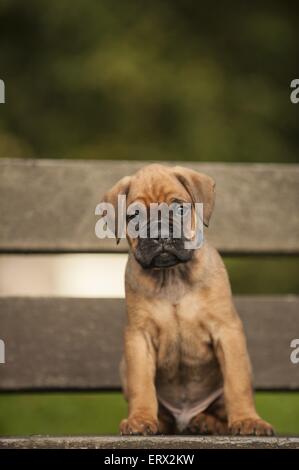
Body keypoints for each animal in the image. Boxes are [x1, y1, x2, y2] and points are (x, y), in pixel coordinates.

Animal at [102, 163, 274, 436]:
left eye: (179, 208)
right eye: (133, 217)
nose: (160, 232)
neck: (172, 275)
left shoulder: (227, 331)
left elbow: (237, 383)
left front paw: (247, 420)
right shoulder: (139, 337)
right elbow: (142, 384)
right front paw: (140, 419)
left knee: (219, 409)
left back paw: (206, 423)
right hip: (124, 368)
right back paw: (163, 422)